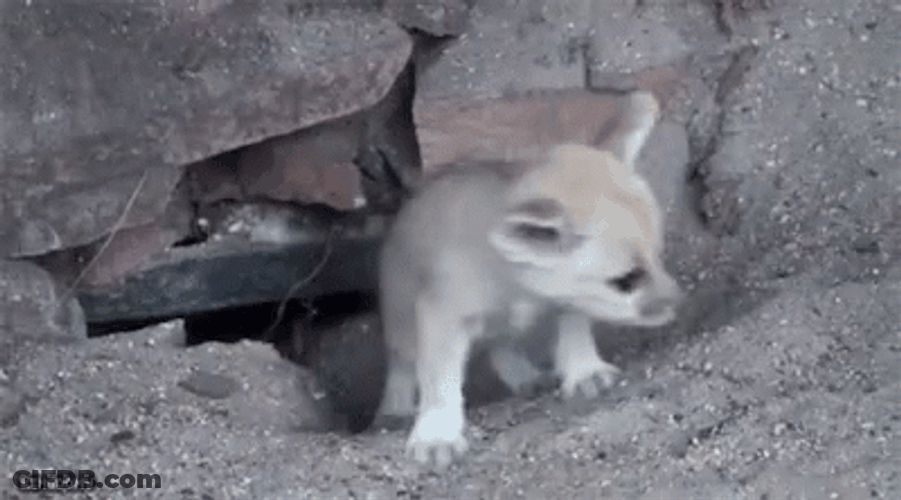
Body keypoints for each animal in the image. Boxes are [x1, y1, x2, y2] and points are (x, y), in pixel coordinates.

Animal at [377, 91, 681, 468]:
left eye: (659, 256)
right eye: (626, 281)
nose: (678, 301)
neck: (516, 285)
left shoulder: (567, 297)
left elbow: (575, 327)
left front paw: (584, 371)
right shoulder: (440, 315)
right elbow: (438, 377)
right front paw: (437, 433)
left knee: (500, 345)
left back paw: (525, 377)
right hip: (402, 322)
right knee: (401, 365)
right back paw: (395, 408)